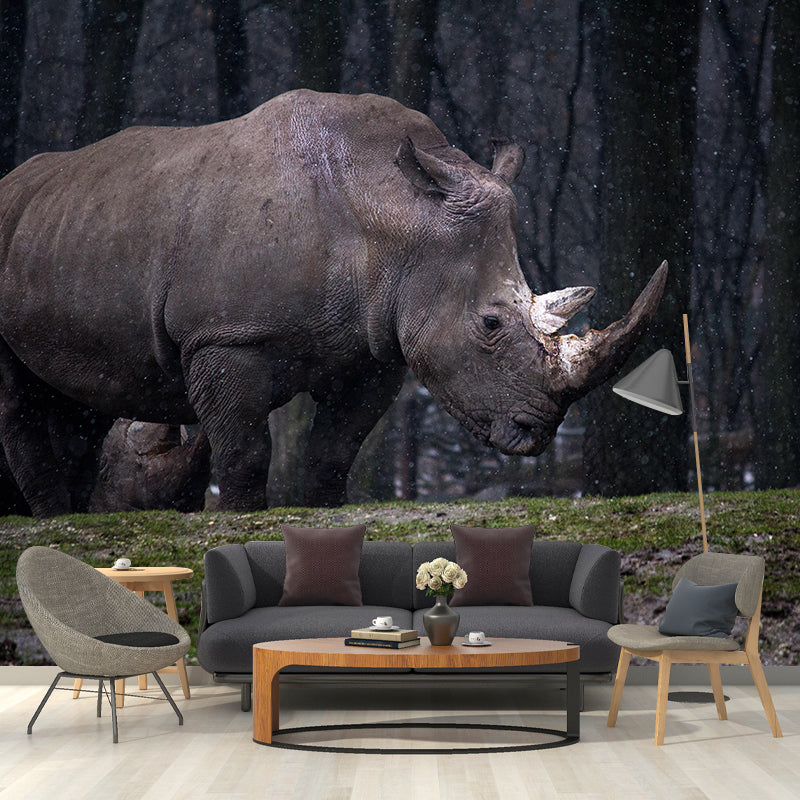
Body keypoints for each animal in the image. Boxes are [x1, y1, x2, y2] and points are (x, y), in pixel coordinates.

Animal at [0, 89, 667, 516]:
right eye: (490, 323)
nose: (535, 433)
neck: (393, 213)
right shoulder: (226, 335)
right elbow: (244, 449)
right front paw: (241, 519)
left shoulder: (373, 349)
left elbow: (334, 450)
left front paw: (320, 509)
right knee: (24, 401)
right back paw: (56, 521)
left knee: (81, 396)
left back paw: (76, 519)